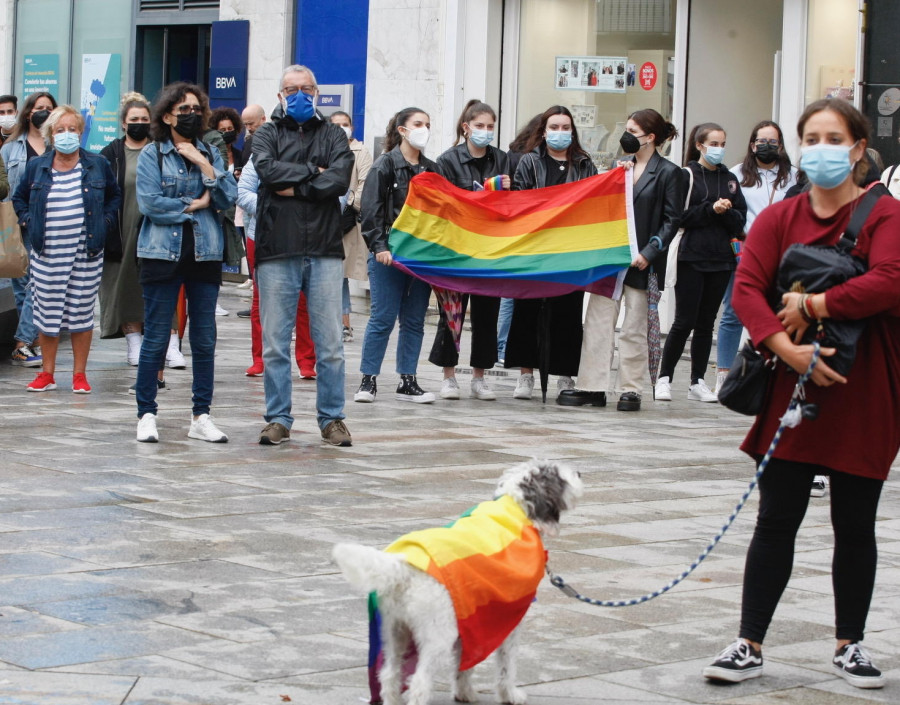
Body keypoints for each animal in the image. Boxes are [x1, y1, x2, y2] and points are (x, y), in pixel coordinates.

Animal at [332, 460, 584, 704]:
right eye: (557, 474)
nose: (580, 473)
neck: (513, 510)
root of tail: (402, 568)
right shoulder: (508, 620)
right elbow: (506, 665)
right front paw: (509, 695)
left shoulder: (472, 619)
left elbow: (465, 663)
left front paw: (464, 693)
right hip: (438, 634)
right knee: (419, 683)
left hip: (395, 632)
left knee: (389, 675)